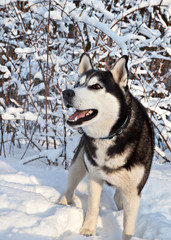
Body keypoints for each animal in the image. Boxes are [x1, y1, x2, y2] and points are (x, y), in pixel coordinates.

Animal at [59, 54, 154, 240]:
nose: (67, 92)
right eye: (77, 84)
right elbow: (92, 208)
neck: (111, 136)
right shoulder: (94, 177)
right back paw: (61, 204)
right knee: (69, 187)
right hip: (78, 165)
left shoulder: (133, 191)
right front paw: (87, 231)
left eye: (96, 86)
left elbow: (128, 227)